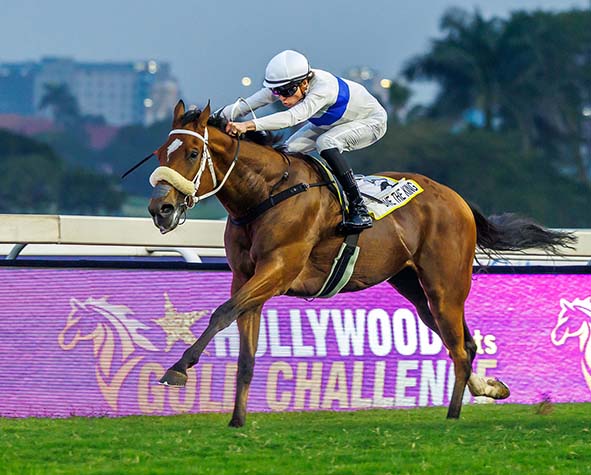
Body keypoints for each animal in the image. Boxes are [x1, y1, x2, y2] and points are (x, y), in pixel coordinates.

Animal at [145, 100, 575, 427]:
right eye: (160, 153)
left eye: (193, 153)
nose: (159, 209)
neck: (265, 195)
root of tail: (457, 198)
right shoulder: (246, 277)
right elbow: (245, 349)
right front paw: (237, 420)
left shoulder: (278, 270)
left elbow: (221, 313)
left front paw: (178, 368)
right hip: (413, 287)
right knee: (461, 340)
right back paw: (488, 386)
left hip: (445, 286)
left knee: (458, 346)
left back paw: (453, 415)